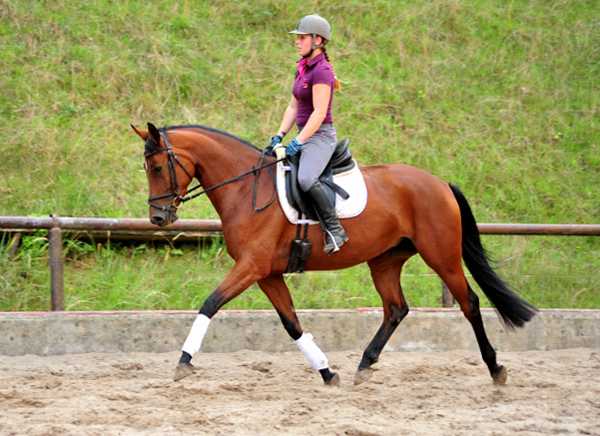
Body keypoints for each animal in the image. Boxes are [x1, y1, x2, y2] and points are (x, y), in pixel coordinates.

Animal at [130, 122, 536, 384]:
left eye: (157, 167)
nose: (158, 217)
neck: (246, 188)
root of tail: (439, 183)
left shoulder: (252, 266)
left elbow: (210, 304)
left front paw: (184, 361)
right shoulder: (268, 273)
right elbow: (292, 324)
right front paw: (326, 371)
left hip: (441, 255)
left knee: (469, 302)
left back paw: (495, 368)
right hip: (385, 260)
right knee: (396, 309)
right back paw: (364, 365)